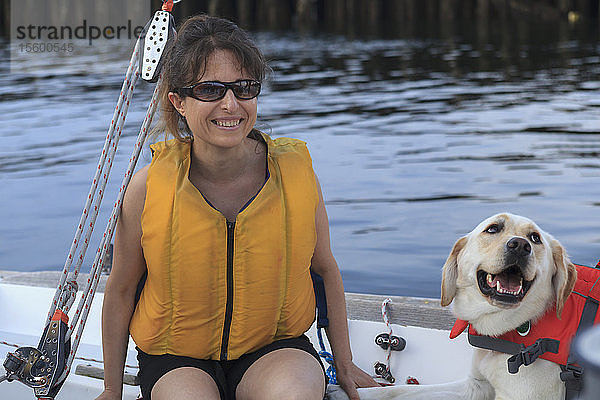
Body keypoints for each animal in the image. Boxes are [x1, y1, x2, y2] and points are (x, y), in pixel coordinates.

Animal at [328, 212, 576, 400]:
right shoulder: (475, 385)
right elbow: (401, 390)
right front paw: (345, 391)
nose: (520, 245)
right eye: (493, 229)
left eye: (535, 238)